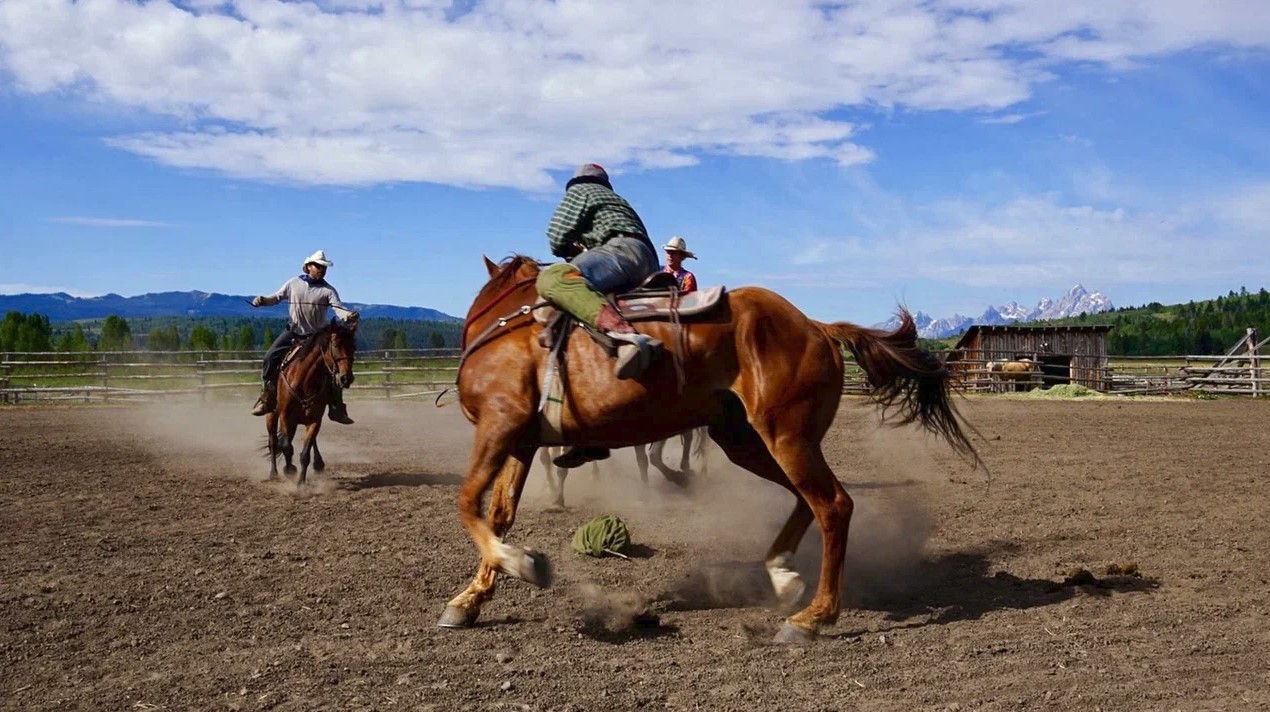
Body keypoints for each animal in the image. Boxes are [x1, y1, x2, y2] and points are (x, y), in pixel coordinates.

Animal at [265, 321, 358, 482]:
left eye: (353, 347)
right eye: (336, 345)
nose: (346, 378)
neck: (304, 381)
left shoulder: (315, 419)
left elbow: (305, 453)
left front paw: (301, 482)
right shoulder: (284, 415)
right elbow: (286, 447)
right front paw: (289, 470)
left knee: (308, 441)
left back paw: (318, 463)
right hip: (272, 416)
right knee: (273, 441)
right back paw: (274, 473)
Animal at [441, 256, 975, 644]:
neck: (510, 326)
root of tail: (817, 326)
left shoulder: (499, 424)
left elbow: (468, 503)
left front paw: (522, 563)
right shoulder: (521, 440)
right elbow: (499, 513)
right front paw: (469, 600)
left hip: (786, 437)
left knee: (833, 505)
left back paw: (812, 618)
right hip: (746, 441)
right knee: (807, 499)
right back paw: (782, 573)